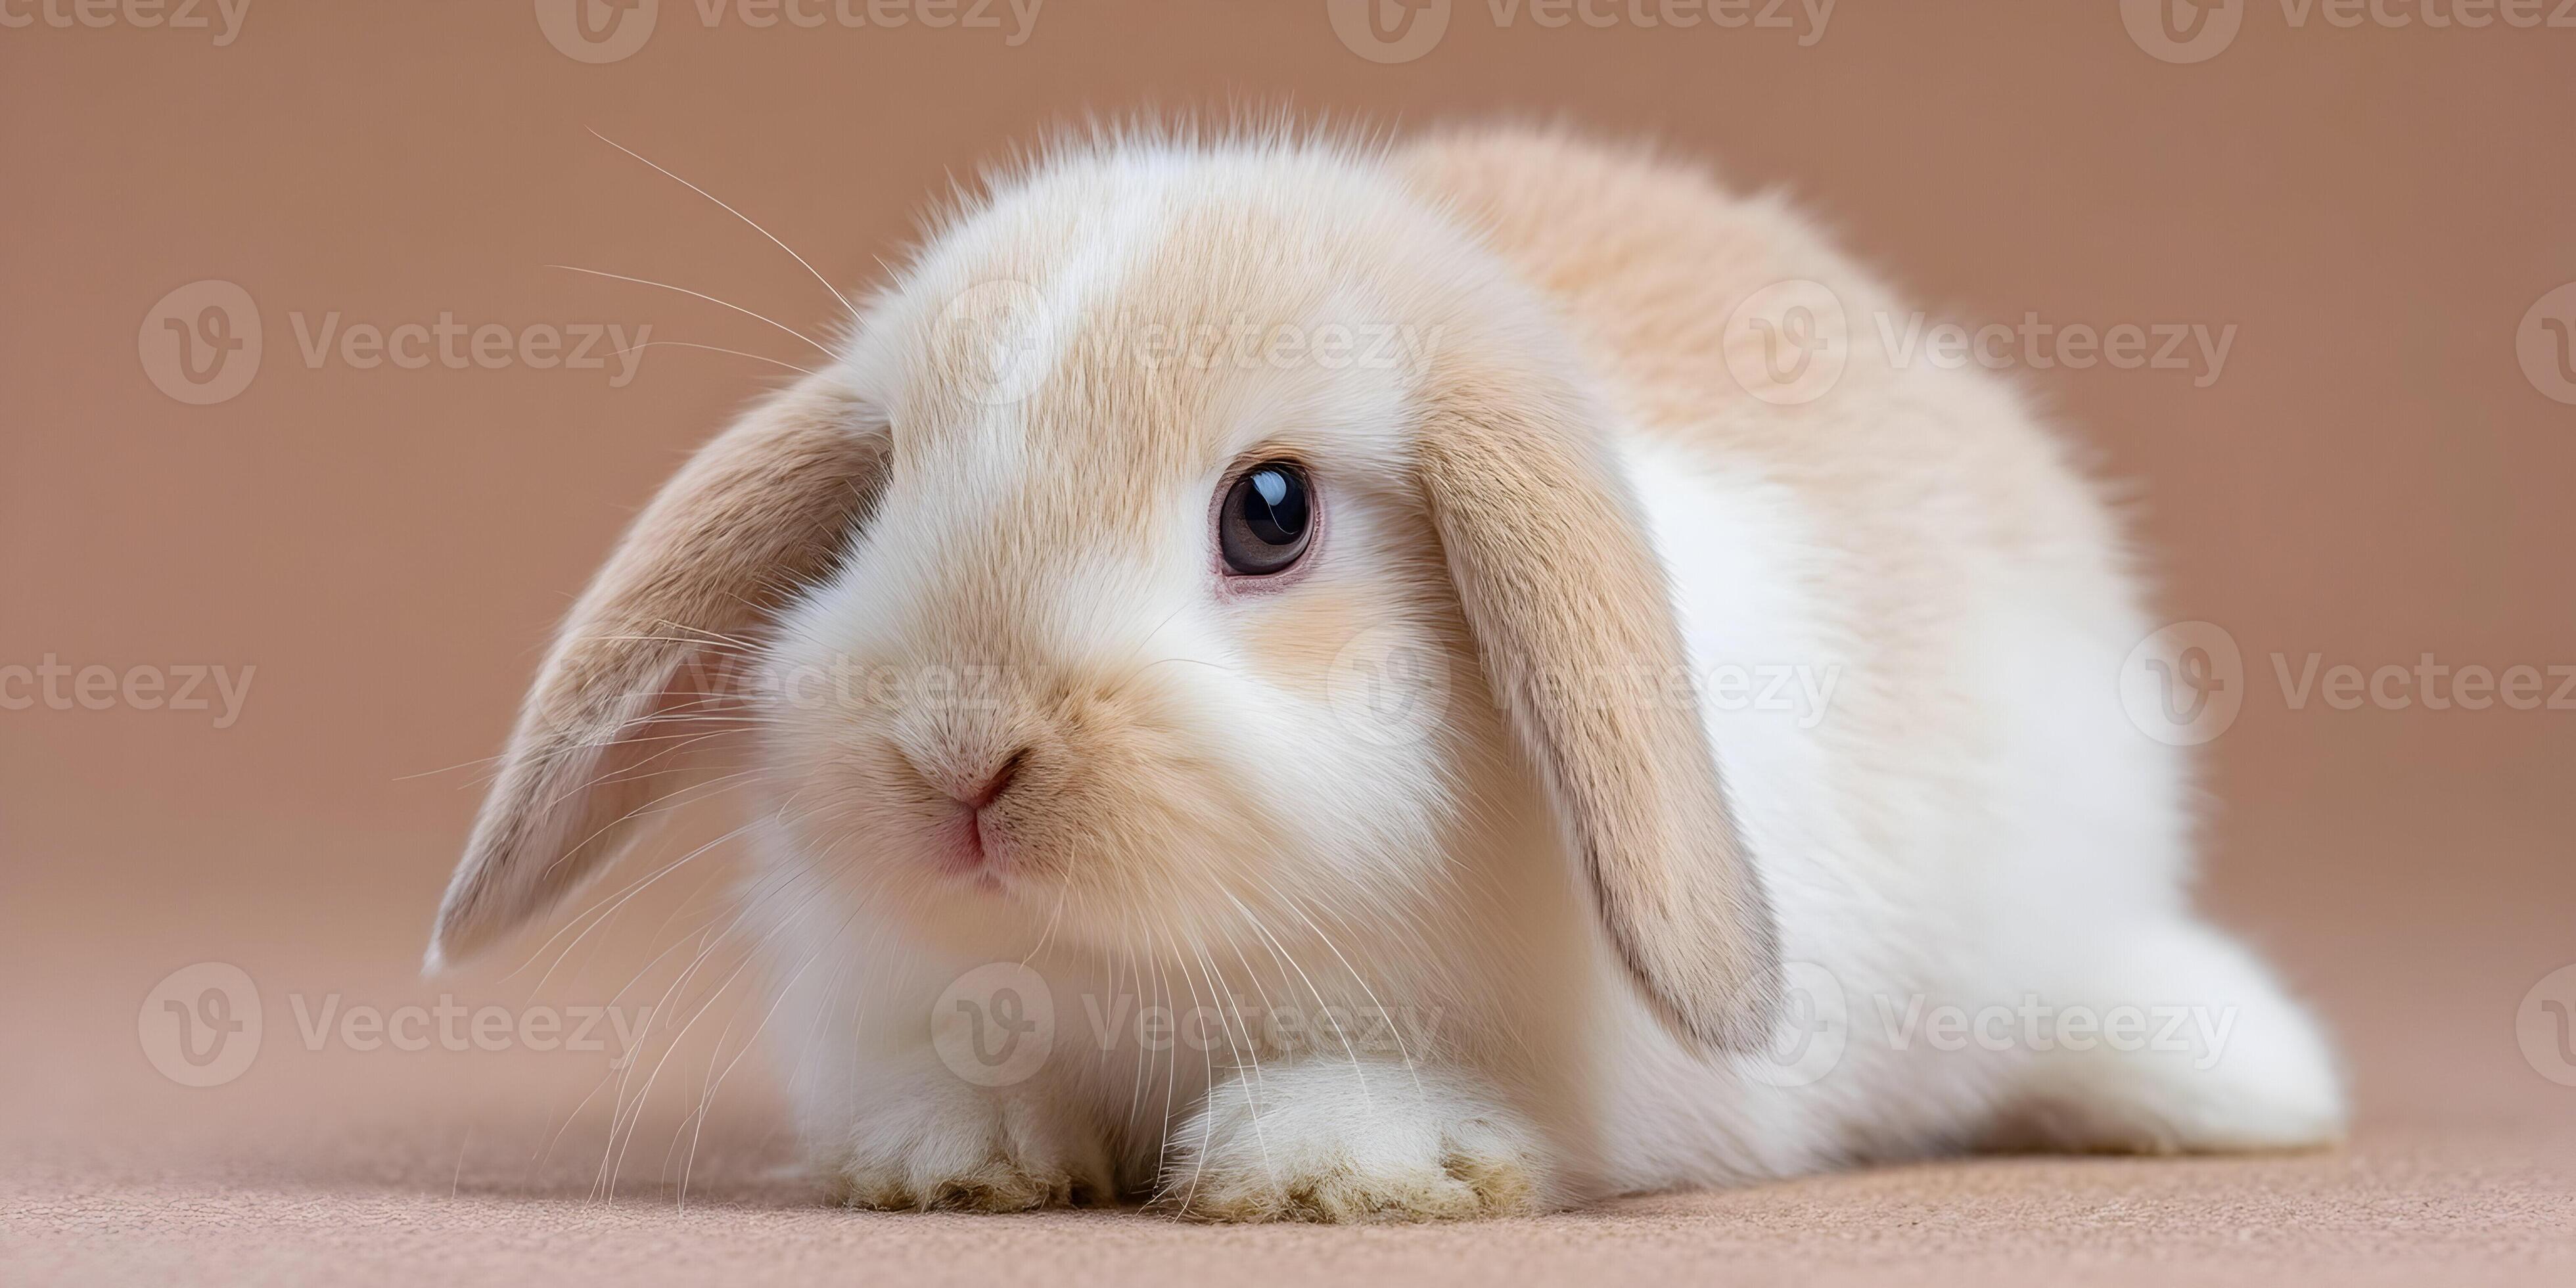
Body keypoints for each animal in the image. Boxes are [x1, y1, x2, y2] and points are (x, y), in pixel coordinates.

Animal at [425, 122, 2346, 1221]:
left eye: (1270, 515)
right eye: (883, 487)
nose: (960, 755)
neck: (1141, 968)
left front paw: (1315, 1164)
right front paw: (953, 1159)